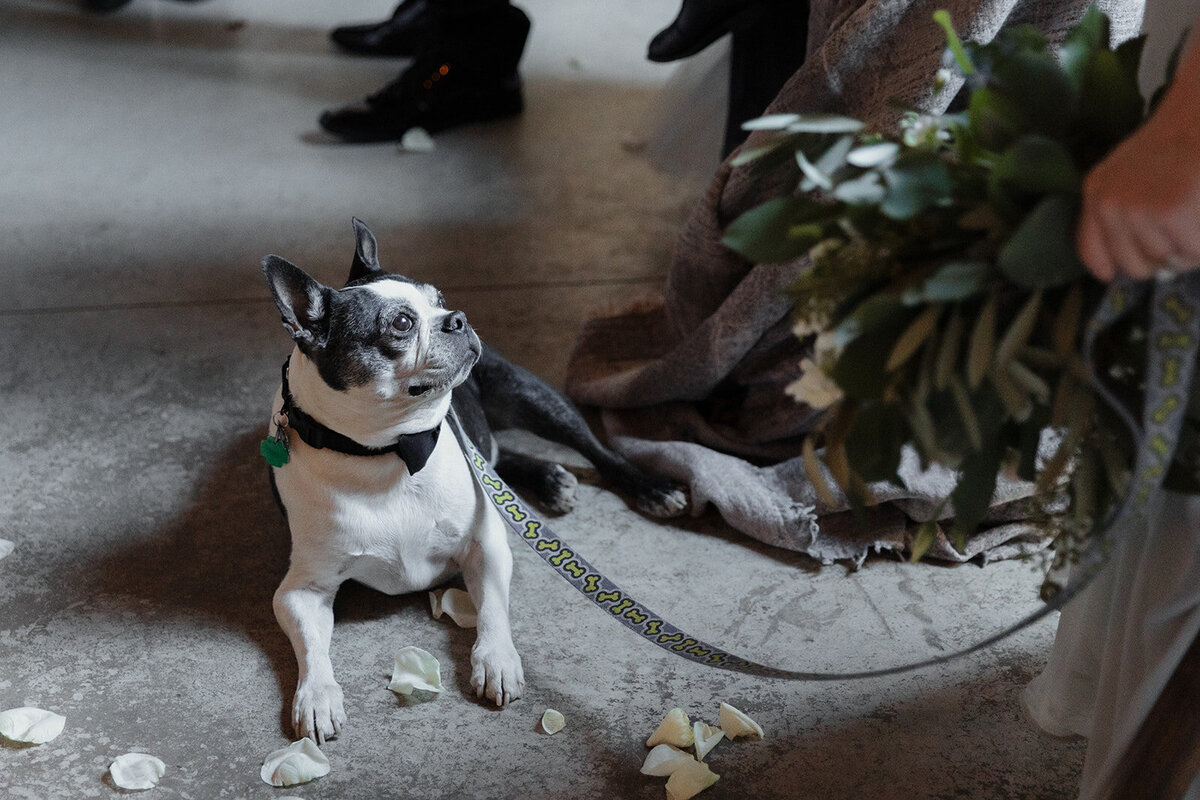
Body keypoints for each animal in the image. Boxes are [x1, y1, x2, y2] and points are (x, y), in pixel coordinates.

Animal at [267, 219, 691, 743]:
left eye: (439, 298)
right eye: (401, 324)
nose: (457, 318)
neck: (389, 452)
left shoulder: (484, 544)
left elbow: (490, 607)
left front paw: (496, 661)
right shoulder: (302, 590)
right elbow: (311, 647)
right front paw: (317, 695)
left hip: (529, 394)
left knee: (596, 449)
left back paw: (650, 488)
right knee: (499, 457)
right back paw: (549, 478)